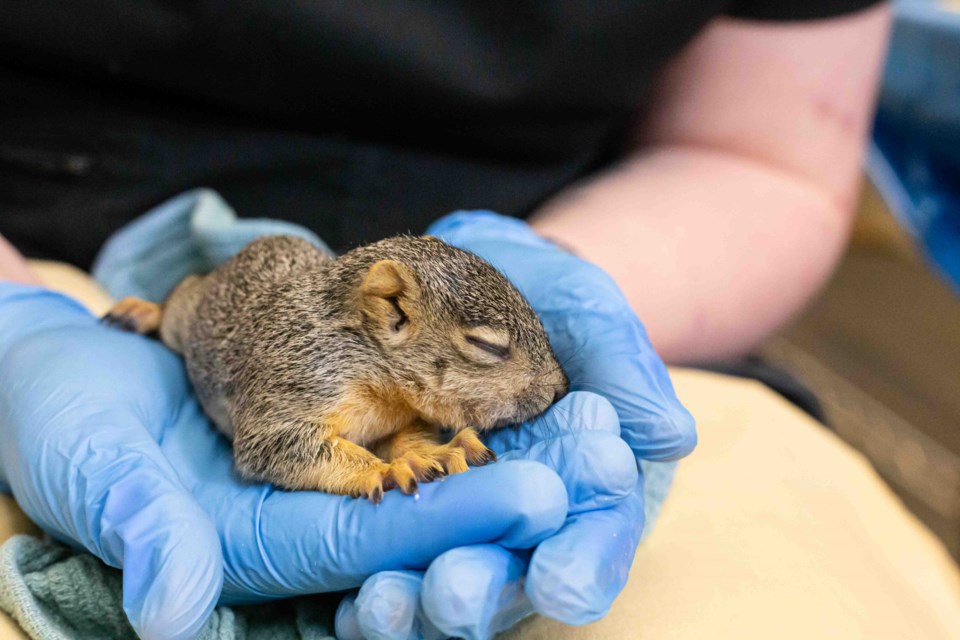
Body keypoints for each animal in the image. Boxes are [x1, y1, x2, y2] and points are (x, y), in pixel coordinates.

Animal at [103, 232, 568, 502]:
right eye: (485, 344)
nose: (561, 387)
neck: (375, 371)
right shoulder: (297, 381)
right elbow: (280, 447)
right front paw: (387, 469)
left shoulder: (398, 416)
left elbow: (407, 436)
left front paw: (431, 451)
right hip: (188, 315)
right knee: (180, 296)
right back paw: (142, 310)